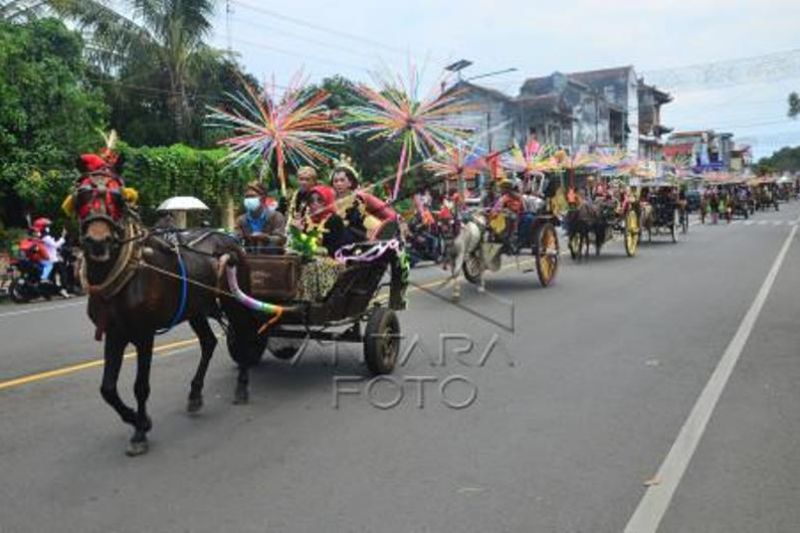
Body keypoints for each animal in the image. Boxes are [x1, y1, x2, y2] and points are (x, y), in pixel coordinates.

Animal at [71, 153, 260, 454]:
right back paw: (195, 393)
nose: (97, 242)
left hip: (233, 301)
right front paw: (139, 419)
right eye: (81, 195)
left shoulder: (144, 333)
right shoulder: (114, 332)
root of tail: (230, 238)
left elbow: (140, 386)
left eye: (118, 198)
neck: (128, 270)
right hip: (196, 307)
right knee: (209, 342)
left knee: (241, 336)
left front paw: (139, 432)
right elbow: (107, 389)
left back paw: (242, 387)